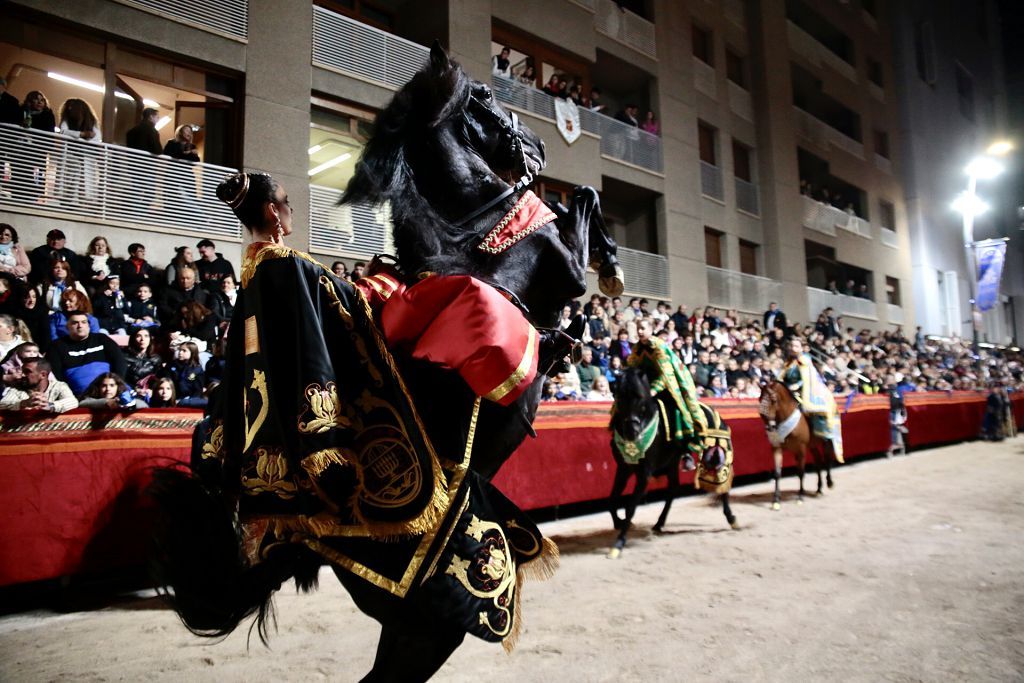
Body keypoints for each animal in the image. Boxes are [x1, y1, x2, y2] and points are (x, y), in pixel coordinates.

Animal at [606, 368, 737, 557]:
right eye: (619, 396)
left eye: (641, 398)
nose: (632, 431)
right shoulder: (624, 469)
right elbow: (612, 500)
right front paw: (620, 523)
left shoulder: (644, 474)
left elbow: (630, 507)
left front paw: (618, 544)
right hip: (672, 464)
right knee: (673, 489)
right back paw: (659, 523)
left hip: (716, 454)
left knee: (722, 486)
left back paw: (732, 519)